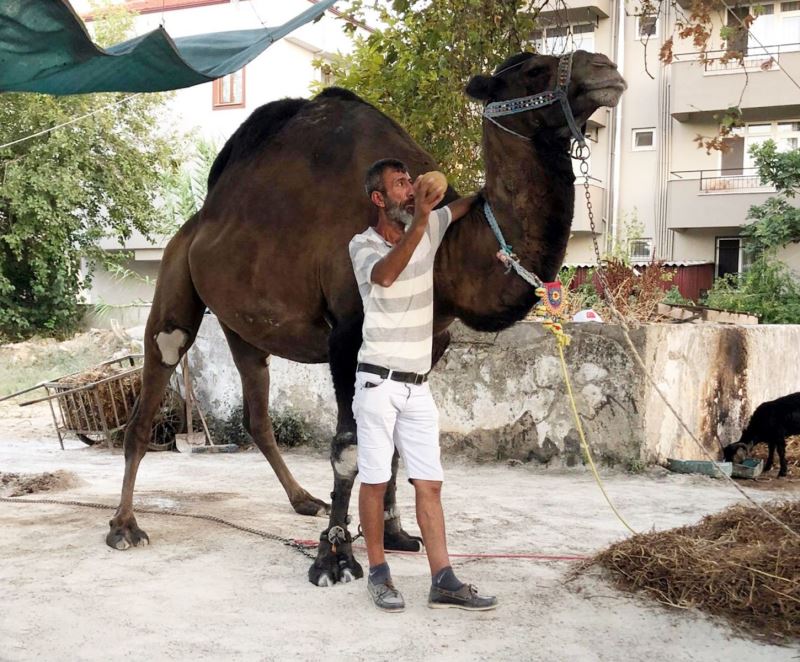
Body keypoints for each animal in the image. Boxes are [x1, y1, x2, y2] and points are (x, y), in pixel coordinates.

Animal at [106, 53, 624, 592]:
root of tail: (196, 224)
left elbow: (392, 446)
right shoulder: (347, 336)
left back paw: (303, 500)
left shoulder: (431, 341)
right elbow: (349, 448)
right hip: (174, 281)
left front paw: (395, 533)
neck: (445, 255)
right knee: (153, 384)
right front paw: (333, 557)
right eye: (534, 70)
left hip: (242, 325)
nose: (605, 68)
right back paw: (124, 526)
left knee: (256, 413)